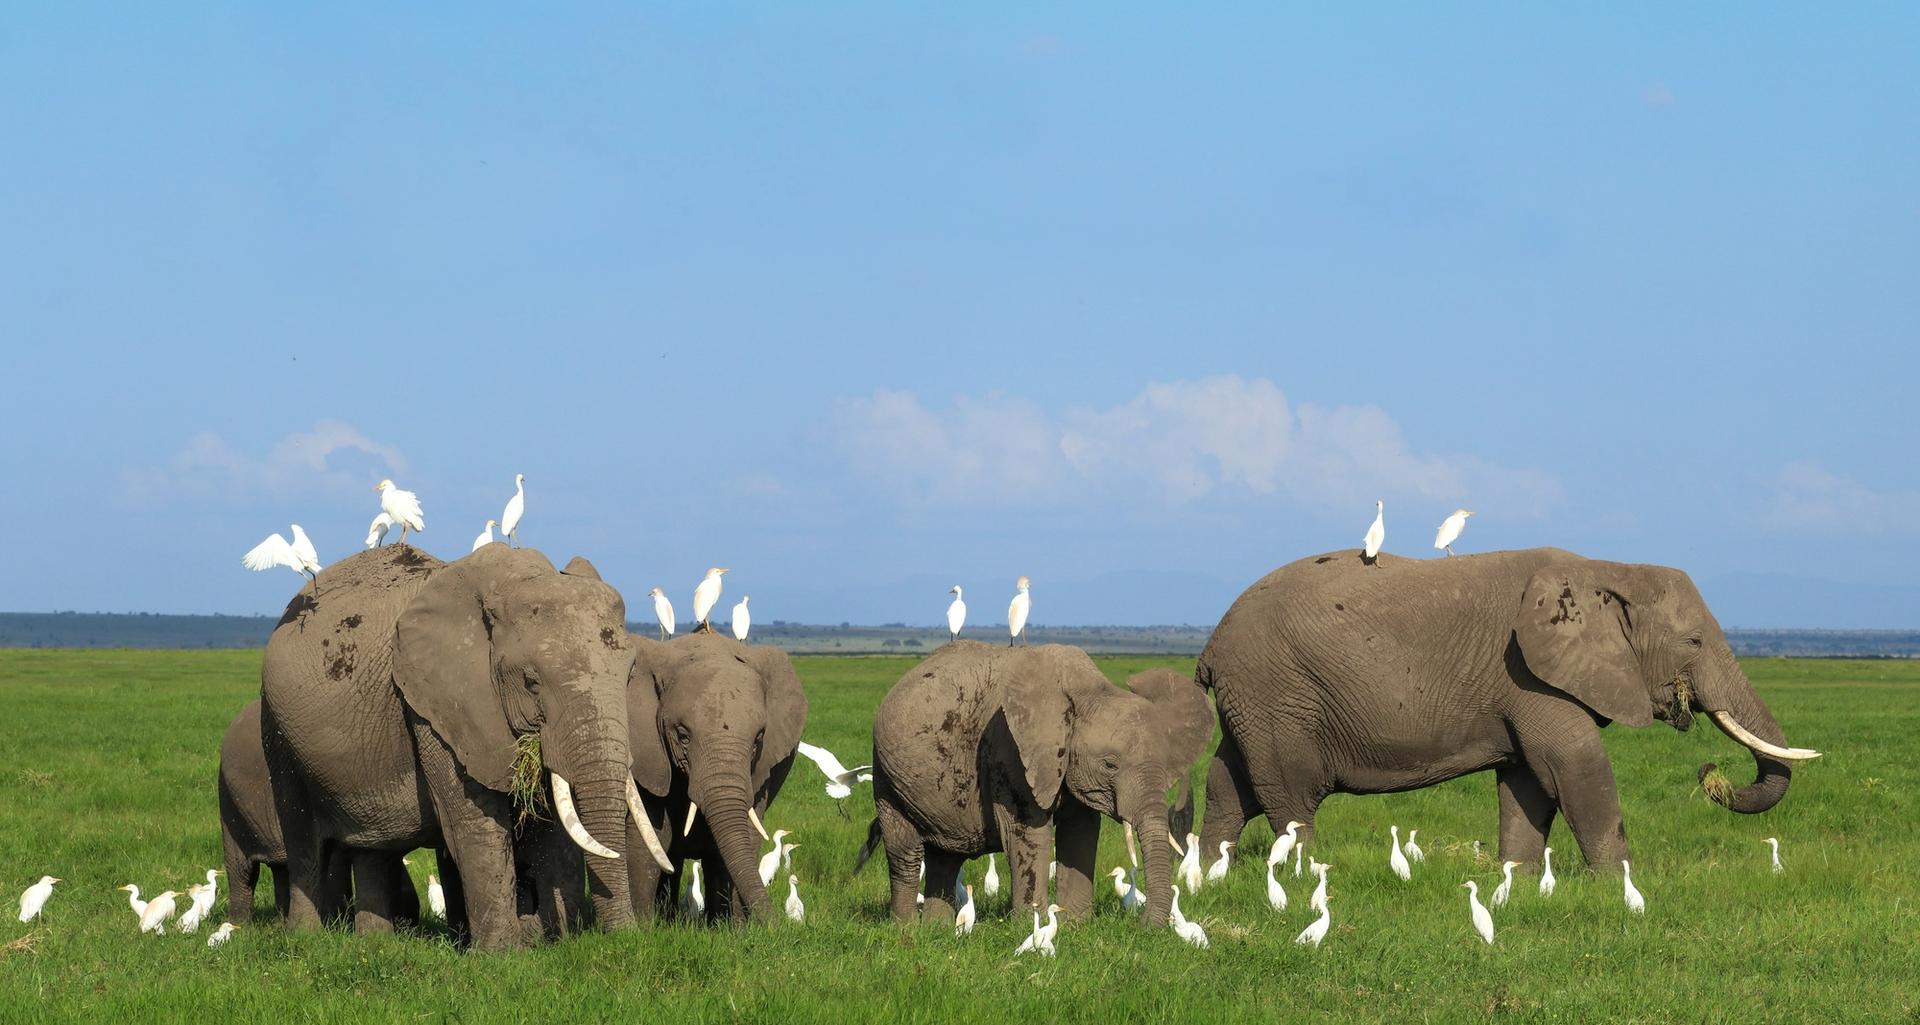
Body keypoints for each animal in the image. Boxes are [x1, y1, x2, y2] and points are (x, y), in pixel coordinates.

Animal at [259, 543, 672, 950]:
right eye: (531, 682)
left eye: (629, 675)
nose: (630, 938)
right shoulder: (437, 705)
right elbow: (475, 822)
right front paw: (501, 953)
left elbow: (552, 828)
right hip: (276, 728)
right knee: (304, 842)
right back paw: (306, 938)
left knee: (372, 849)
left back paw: (375, 944)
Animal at [624, 633, 808, 923]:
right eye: (682, 736)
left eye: (758, 739)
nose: (778, 926)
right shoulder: (648, 755)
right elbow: (652, 836)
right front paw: (641, 926)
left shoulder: (763, 768)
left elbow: (745, 835)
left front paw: (737, 928)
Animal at [865, 641, 1214, 928]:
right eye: (1110, 765)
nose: (1142, 926)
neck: (1088, 691)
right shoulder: (1009, 751)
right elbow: (1028, 834)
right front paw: (1032, 928)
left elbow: (1080, 833)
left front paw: (1074, 925)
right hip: (887, 777)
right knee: (906, 853)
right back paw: (908, 931)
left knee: (944, 857)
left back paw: (937, 930)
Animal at [1195, 548, 1821, 872]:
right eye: (1693, 642)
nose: (1708, 771)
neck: (1606, 570)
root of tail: (1210, 645)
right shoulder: (1532, 676)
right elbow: (1574, 766)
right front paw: (1620, 889)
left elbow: (1528, 783)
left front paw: (1516, 882)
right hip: (1278, 695)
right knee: (1292, 797)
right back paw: (1308, 880)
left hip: (1253, 703)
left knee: (1229, 786)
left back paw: (1207, 877)